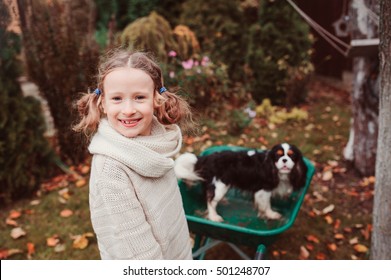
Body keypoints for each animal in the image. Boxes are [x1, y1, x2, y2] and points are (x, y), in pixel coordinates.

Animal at [175, 143, 310, 222]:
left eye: (292, 156)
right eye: (278, 156)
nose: (285, 160)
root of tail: (204, 158)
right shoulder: (264, 190)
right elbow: (266, 205)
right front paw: (271, 214)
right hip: (220, 186)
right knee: (210, 201)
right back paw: (214, 217)